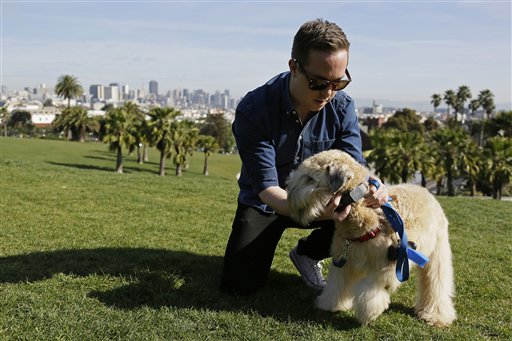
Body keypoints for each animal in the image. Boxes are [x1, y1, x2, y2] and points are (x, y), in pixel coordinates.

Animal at [286, 150, 458, 326]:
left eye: (309, 178)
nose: (288, 194)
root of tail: (427, 192)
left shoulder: (382, 269)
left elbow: (369, 292)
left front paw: (368, 314)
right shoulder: (344, 262)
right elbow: (336, 285)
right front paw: (330, 304)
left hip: (437, 254)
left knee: (436, 284)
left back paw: (435, 315)